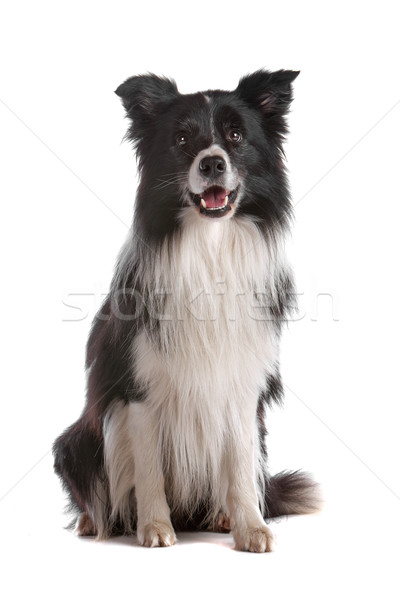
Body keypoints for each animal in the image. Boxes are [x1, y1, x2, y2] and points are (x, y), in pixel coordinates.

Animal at [54, 70, 318, 552]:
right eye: (181, 139)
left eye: (236, 136)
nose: (212, 163)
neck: (208, 247)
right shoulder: (138, 390)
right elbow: (148, 469)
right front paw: (155, 527)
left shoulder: (242, 385)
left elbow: (240, 467)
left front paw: (250, 527)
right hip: (75, 441)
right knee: (96, 492)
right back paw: (95, 522)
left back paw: (219, 515)